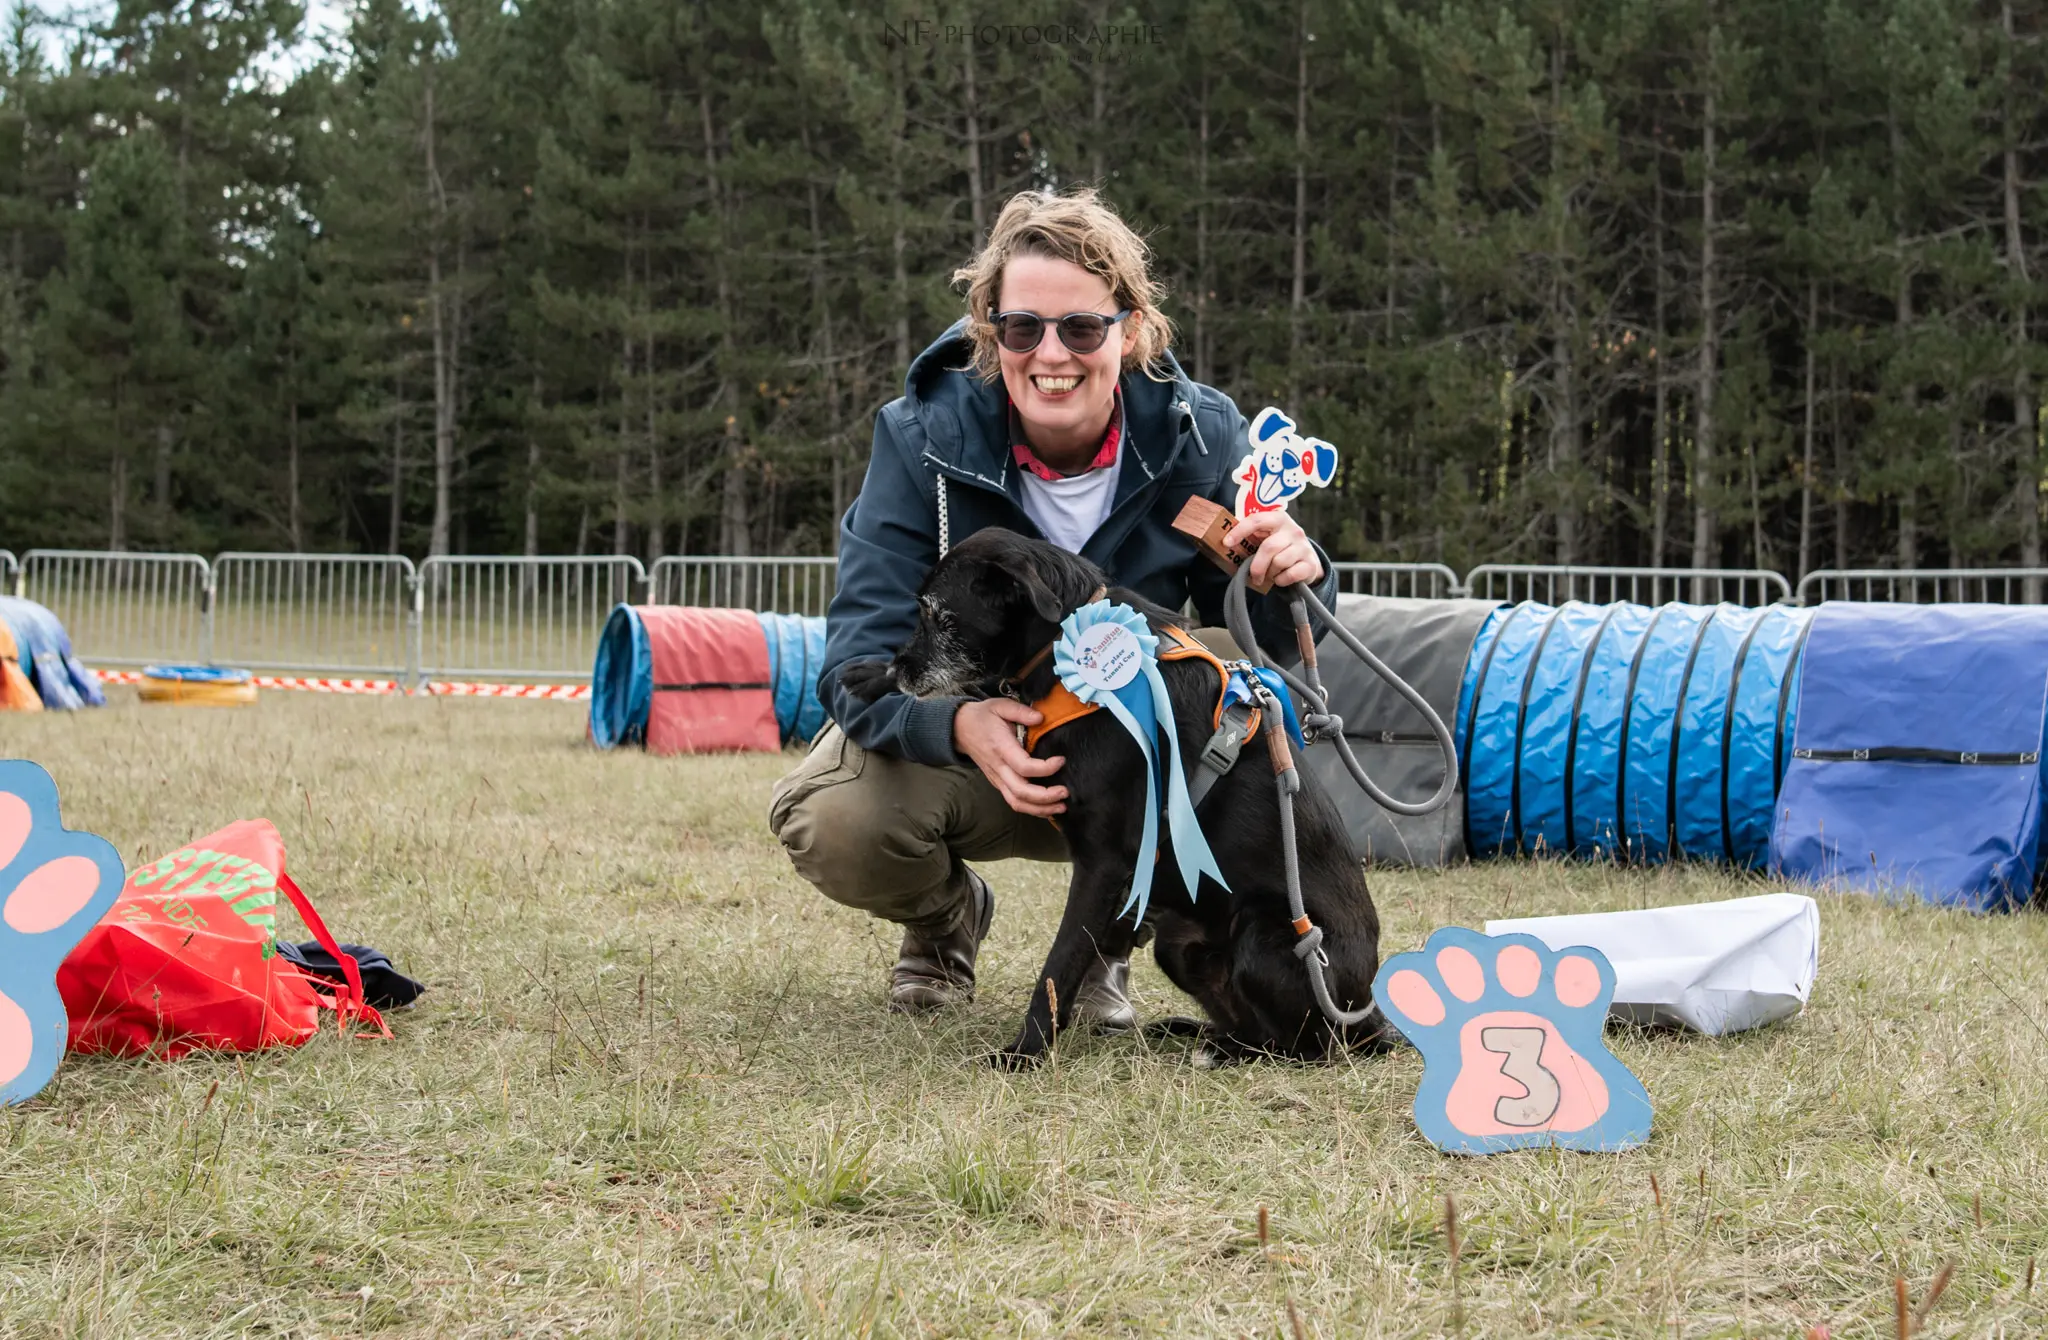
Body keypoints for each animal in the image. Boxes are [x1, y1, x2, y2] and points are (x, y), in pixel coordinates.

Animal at [839, 528, 1384, 1065]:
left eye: (940, 616)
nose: (902, 668)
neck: (1064, 639)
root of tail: (1370, 1018)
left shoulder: (1105, 861)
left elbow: (1059, 963)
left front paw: (1024, 1052)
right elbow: (979, 707)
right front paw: (870, 676)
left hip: (1265, 938)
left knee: (1301, 1047)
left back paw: (1223, 1052)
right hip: (1177, 942)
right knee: (1252, 1027)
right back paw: (1199, 1035)